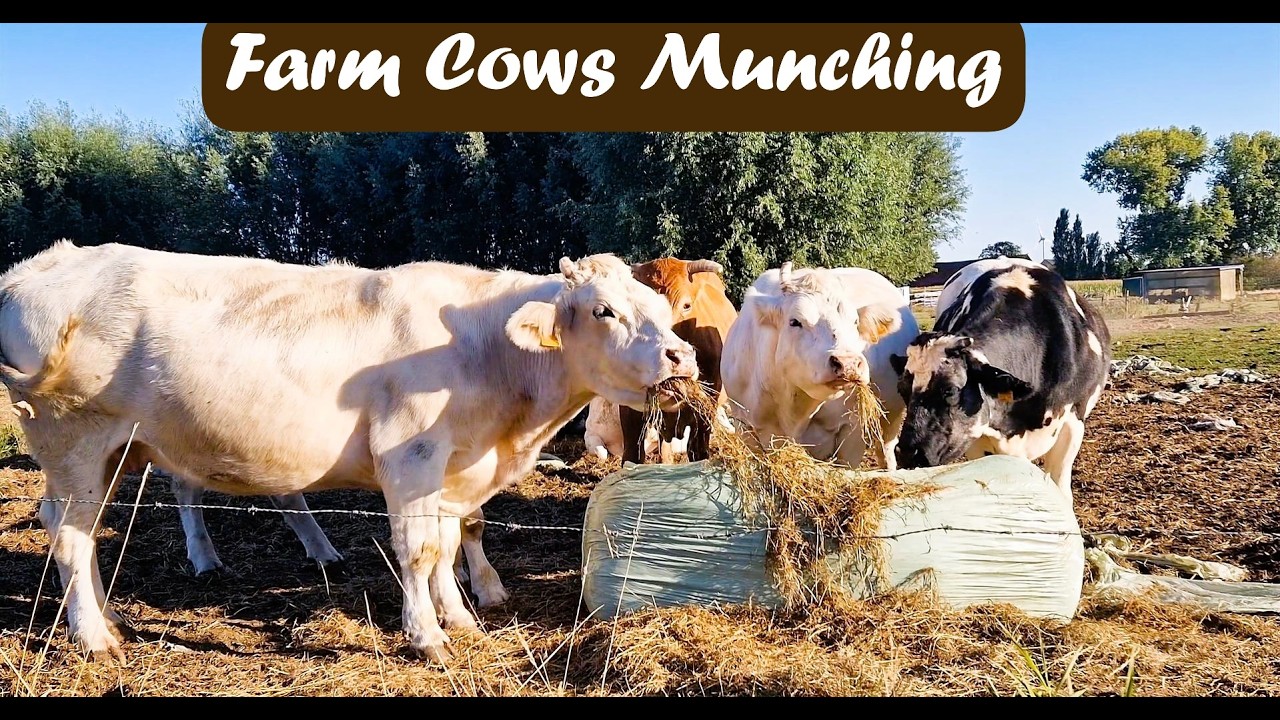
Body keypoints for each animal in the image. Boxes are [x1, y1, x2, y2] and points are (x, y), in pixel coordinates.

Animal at [0, 240, 698, 664]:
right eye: (604, 310)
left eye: (664, 310)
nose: (682, 356)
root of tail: (39, 264)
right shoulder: (411, 454)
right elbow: (418, 550)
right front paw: (428, 638)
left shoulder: (452, 465)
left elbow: (449, 542)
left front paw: (460, 618)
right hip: (74, 439)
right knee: (68, 534)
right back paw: (93, 638)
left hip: (119, 449)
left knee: (83, 532)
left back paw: (107, 619)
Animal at [720, 262, 918, 470]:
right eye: (794, 321)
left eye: (855, 321)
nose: (848, 363)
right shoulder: (745, 426)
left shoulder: (852, 431)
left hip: (891, 420)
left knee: (885, 450)